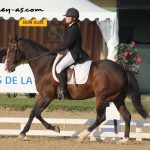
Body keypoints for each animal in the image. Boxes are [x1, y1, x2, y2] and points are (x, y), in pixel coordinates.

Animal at [4, 34, 149, 143]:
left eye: (11, 50)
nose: (6, 68)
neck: (44, 65)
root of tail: (122, 69)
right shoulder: (42, 95)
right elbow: (33, 112)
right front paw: (23, 133)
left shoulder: (48, 96)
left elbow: (38, 113)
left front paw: (55, 128)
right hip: (117, 99)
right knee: (126, 116)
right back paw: (124, 140)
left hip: (102, 98)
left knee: (101, 117)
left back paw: (82, 136)